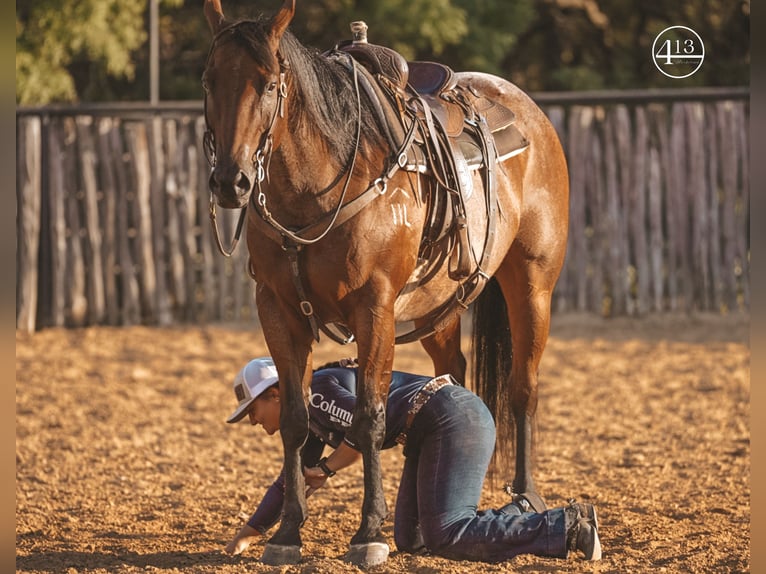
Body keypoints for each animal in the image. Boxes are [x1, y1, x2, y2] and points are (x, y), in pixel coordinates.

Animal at [204, 0, 568, 568]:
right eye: (209, 79)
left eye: (269, 84)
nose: (230, 181)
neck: (314, 189)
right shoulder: (278, 309)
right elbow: (294, 419)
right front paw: (287, 531)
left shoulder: (374, 307)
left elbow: (369, 418)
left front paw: (368, 533)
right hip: (439, 308)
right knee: (455, 372)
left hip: (532, 285)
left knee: (523, 389)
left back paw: (527, 494)